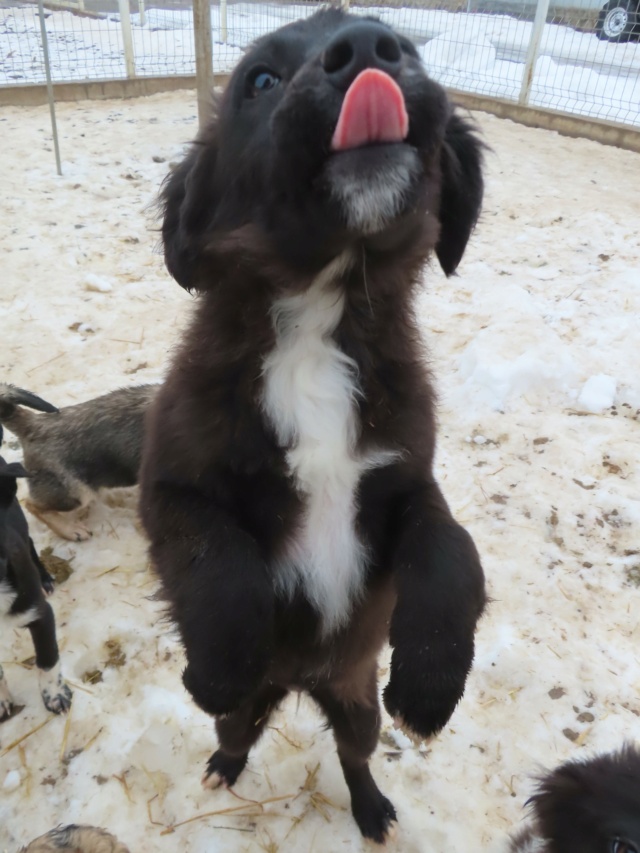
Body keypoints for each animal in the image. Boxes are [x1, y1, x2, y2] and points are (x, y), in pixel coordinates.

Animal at [140, 8, 488, 844]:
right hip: (249, 713)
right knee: (237, 729)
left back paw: (372, 809)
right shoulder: (168, 485)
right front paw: (218, 665)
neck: (320, 311)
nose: (365, 51)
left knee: (355, 752)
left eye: (410, 48)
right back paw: (225, 762)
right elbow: (219, 559)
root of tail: (299, 683)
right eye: (259, 80)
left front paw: (432, 679)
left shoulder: (406, 478)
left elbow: (451, 549)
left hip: (358, 704)